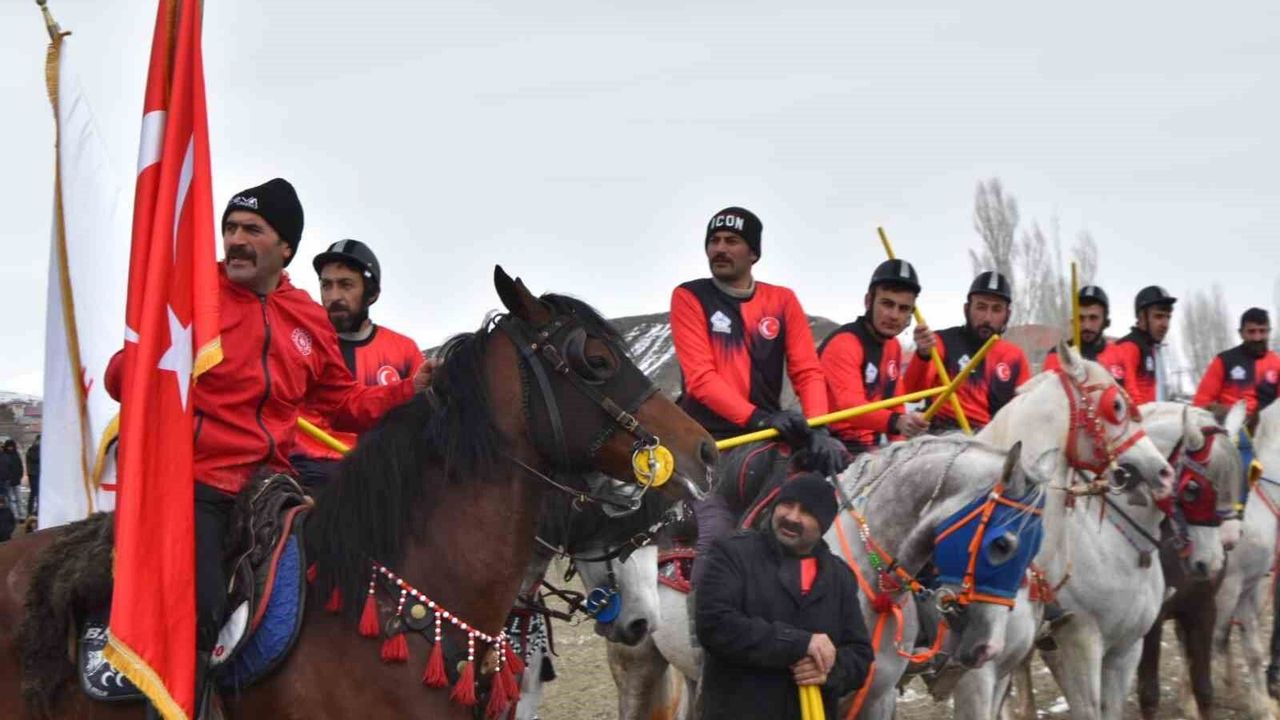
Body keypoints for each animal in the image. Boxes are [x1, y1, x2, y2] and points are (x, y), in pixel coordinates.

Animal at [1135, 401, 1245, 720]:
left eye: (1240, 478)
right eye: (1192, 489)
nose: (1213, 562)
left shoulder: (1203, 610)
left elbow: (1204, 689)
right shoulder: (1151, 621)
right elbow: (1149, 695)